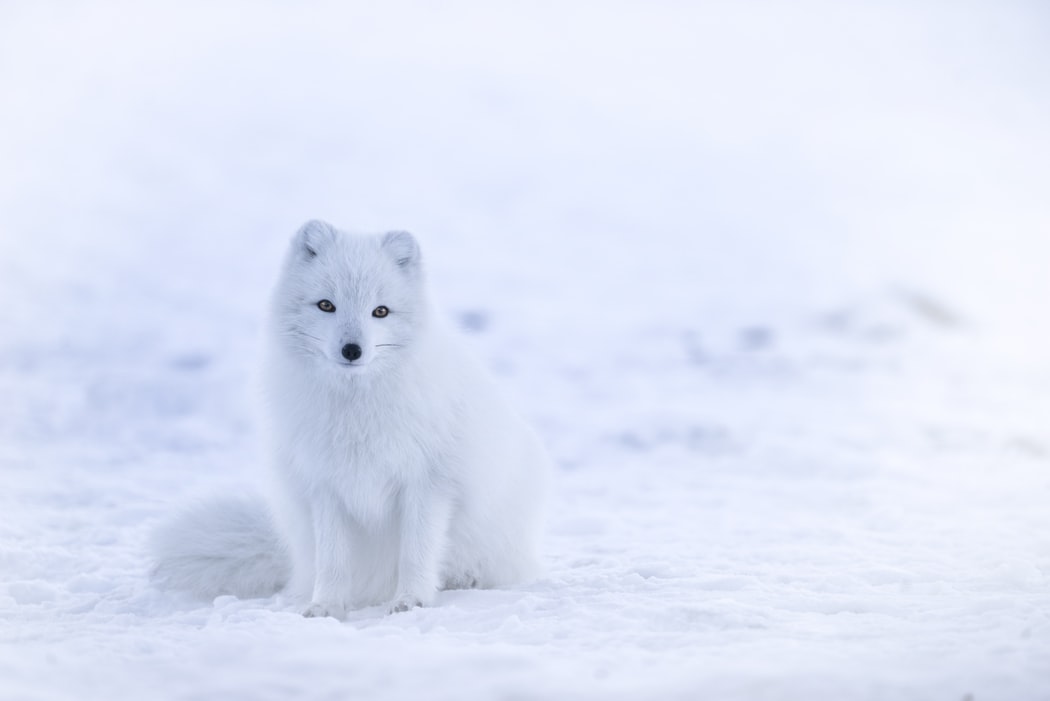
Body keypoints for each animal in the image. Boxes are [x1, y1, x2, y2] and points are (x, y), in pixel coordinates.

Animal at [155, 221, 554, 617]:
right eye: (326, 305)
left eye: (381, 311)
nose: (352, 350)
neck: (356, 408)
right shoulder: (325, 485)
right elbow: (333, 559)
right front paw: (326, 606)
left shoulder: (428, 483)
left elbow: (416, 552)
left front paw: (411, 600)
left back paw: (463, 579)